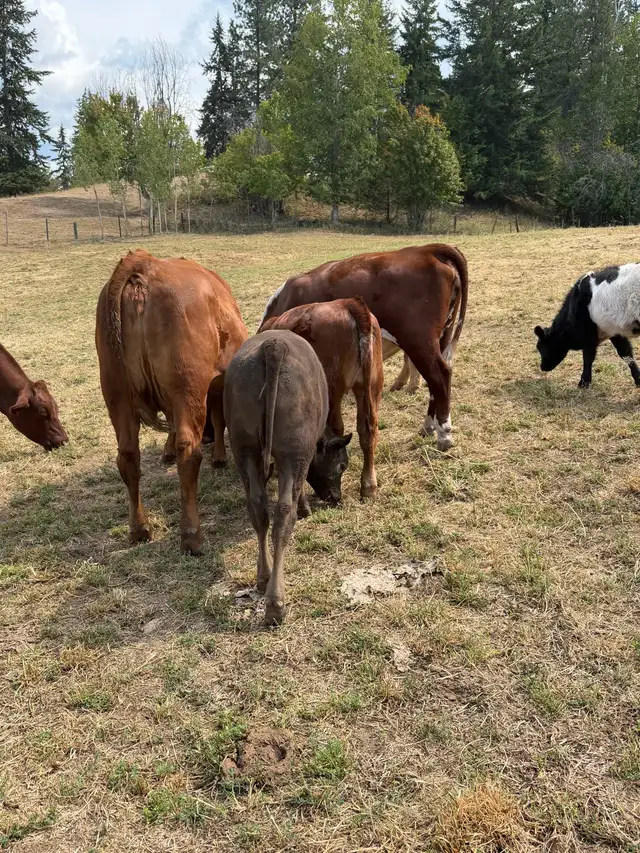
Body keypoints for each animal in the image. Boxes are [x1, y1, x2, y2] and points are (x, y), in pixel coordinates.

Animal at [95, 249, 248, 556]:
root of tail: (144, 265)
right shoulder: (216, 385)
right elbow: (218, 419)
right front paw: (219, 457)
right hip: (188, 389)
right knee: (188, 451)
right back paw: (191, 535)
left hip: (116, 393)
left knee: (128, 455)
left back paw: (139, 529)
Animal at [224, 331, 352, 625]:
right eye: (342, 465)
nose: (336, 497)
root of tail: (274, 345)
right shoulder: (302, 458)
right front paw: (305, 507)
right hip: (294, 453)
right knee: (283, 515)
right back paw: (275, 604)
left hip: (244, 449)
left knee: (258, 507)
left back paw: (263, 577)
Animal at [259, 243, 469, 451]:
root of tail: (428, 249)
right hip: (443, 336)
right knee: (434, 384)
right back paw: (428, 426)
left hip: (418, 340)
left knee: (440, 376)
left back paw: (444, 434)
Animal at [261, 297, 383, 500]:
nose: (334, 496)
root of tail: (350, 304)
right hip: (370, 386)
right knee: (367, 430)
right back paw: (369, 485)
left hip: (332, 388)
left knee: (336, 426)